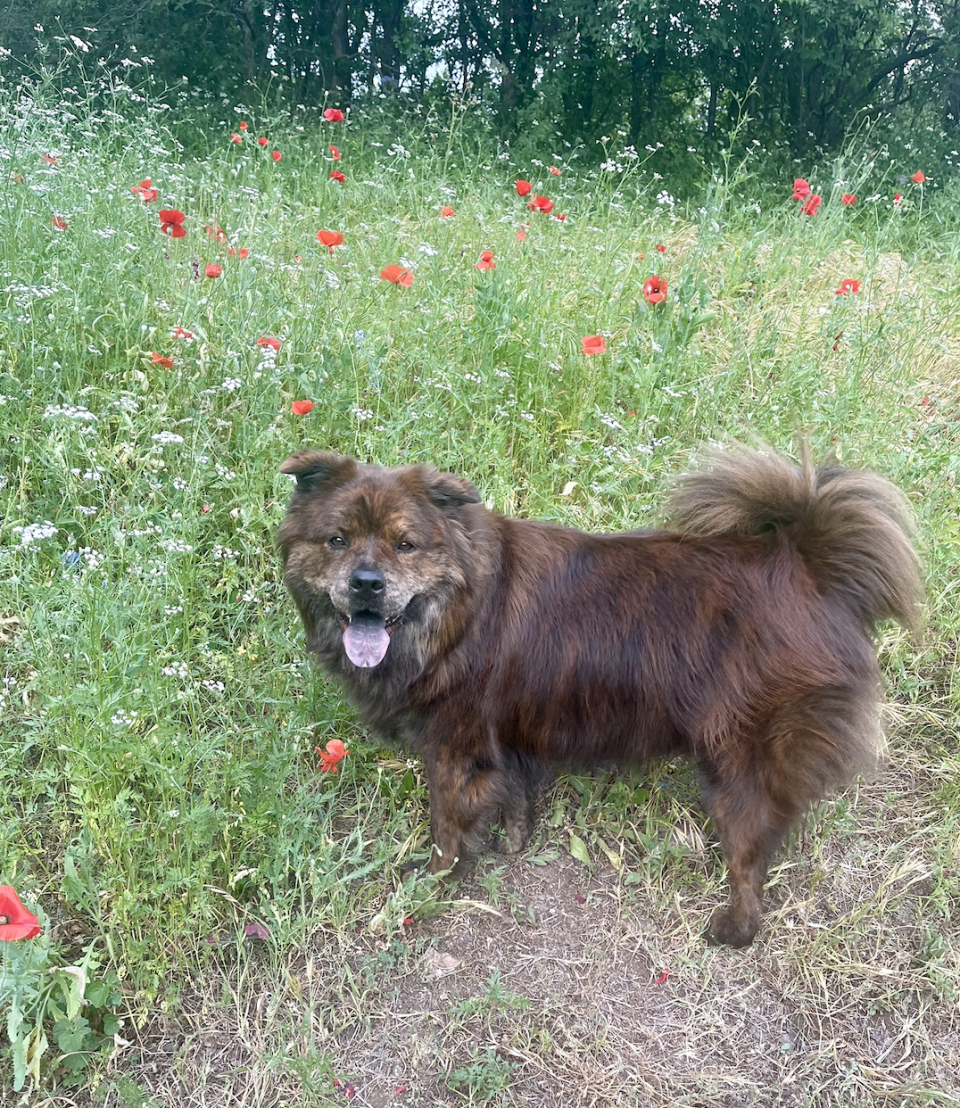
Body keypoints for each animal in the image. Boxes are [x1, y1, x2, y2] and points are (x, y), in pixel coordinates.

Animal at [272, 445, 917, 948]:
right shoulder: (502, 743)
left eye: (405, 545)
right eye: (336, 540)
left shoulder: (455, 751)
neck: (457, 614)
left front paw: (433, 883)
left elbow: (447, 828)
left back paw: (731, 929)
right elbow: (513, 800)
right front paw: (512, 843)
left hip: (740, 766)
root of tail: (808, 567)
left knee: (750, 862)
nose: (366, 583)